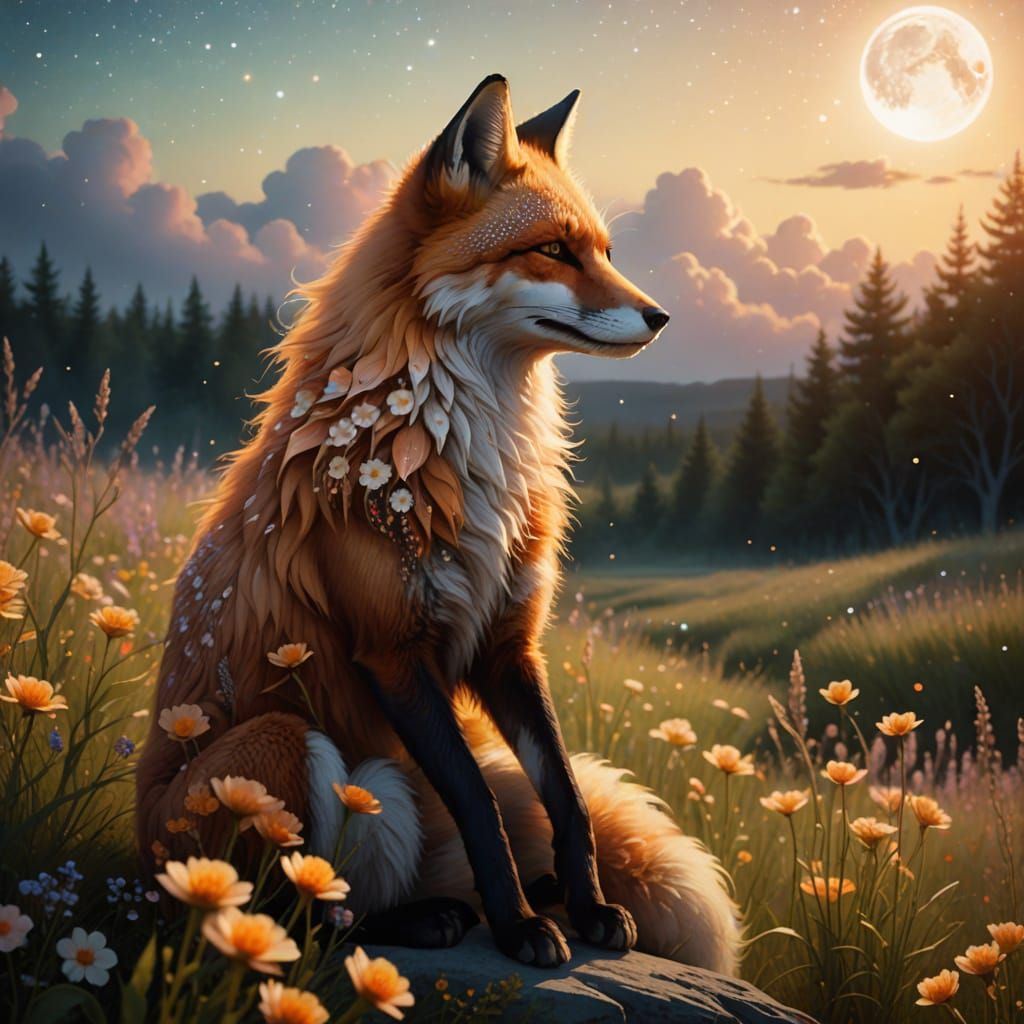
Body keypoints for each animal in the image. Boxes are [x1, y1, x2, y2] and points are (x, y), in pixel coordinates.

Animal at [135, 74, 740, 972]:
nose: (662, 316)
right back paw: (434, 922)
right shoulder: (395, 652)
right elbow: (484, 808)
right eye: (553, 251)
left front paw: (586, 907)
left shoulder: (508, 644)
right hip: (285, 743)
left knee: (344, 897)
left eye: (604, 252)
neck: (464, 455)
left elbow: (566, 799)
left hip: (385, 790)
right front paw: (521, 928)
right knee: (283, 923)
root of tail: (128, 869)